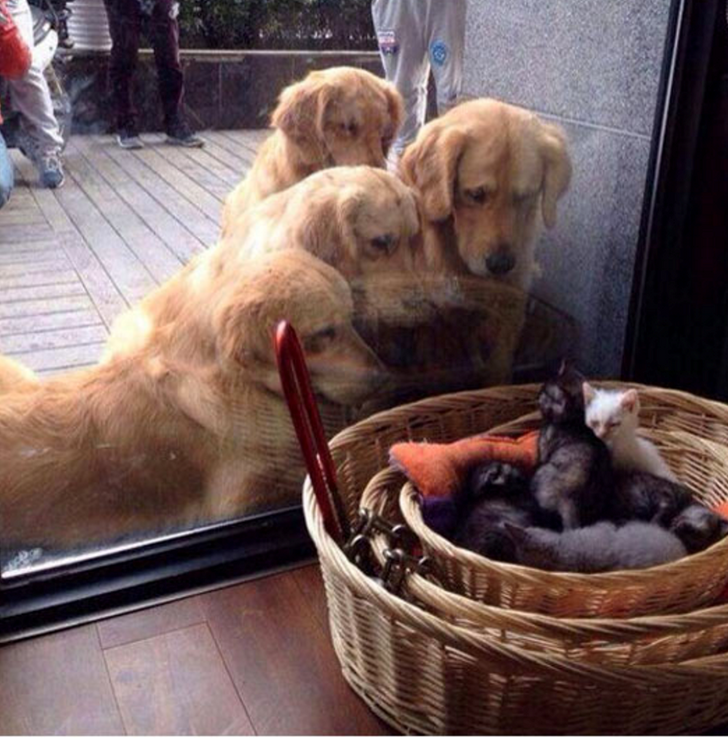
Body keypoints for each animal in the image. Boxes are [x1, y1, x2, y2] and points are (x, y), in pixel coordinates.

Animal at [530, 362, 613, 529]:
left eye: (545, 393)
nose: (537, 394)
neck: (577, 421)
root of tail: (571, 501)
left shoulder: (543, 450)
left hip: (540, 473)